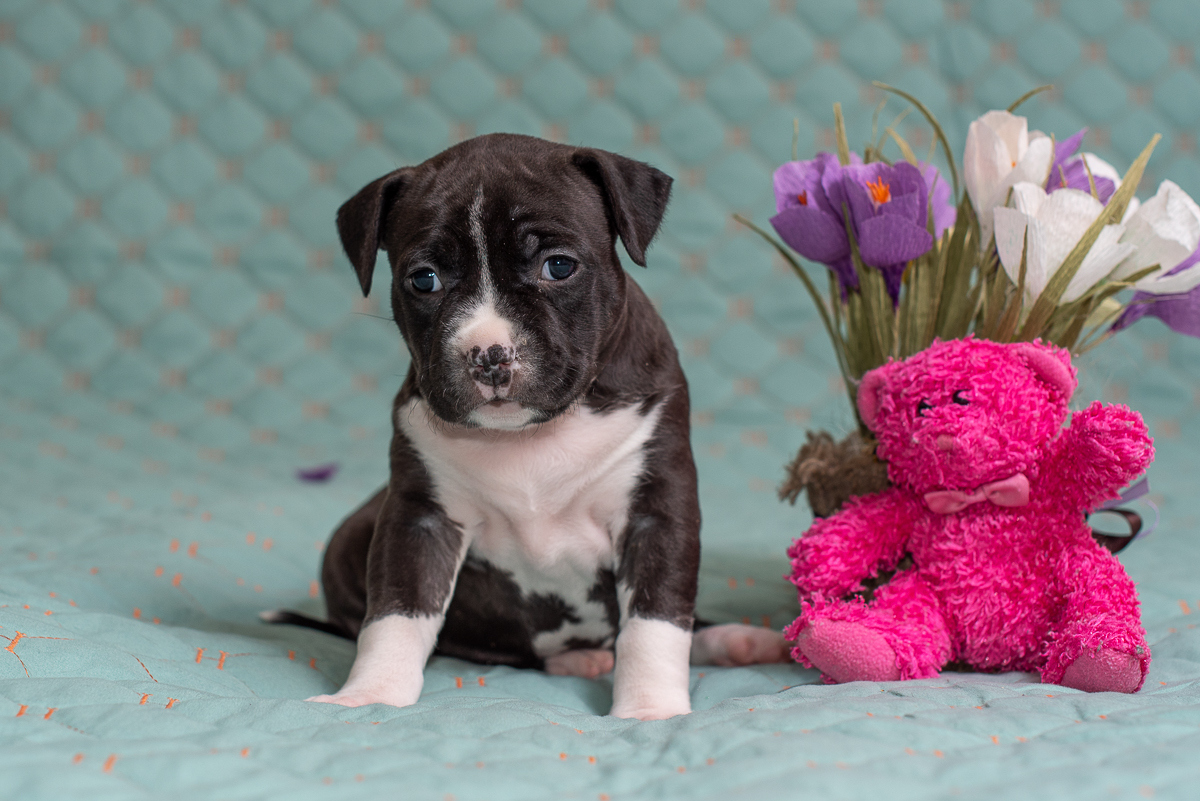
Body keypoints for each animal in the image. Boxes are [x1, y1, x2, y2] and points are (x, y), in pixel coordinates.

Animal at [284, 133, 782, 719]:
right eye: (424, 280)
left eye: (559, 267)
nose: (489, 354)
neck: (531, 434)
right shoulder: (419, 519)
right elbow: (396, 615)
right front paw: (370, 696)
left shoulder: (656, 513)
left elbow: (655, 621)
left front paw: (649, 709)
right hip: (349, 539)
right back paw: (578, 657)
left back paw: (733, 640)